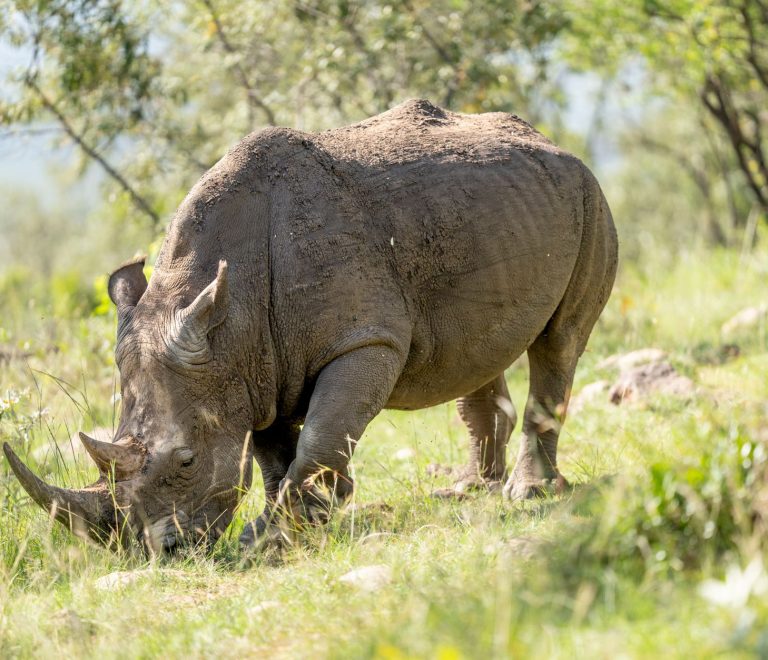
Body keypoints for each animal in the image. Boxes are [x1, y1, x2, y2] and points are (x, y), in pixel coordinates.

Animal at [3, 99, 618, 553]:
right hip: (502, 210)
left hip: (590, 200)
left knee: (559, 342)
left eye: (186, 461)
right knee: (475, 353)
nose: (156, 552)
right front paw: (284, 526)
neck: (229, 312)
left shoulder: (363, 340)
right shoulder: (251, 367)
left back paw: (526, 494)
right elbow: (273, 454)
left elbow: (320, 436)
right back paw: (466, 491)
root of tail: (556, 144)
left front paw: (275, 536)